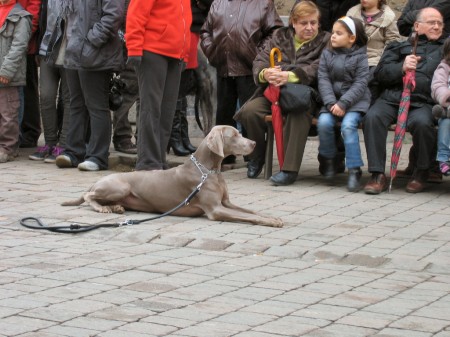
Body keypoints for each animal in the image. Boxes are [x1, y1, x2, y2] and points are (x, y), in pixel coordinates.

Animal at [61, 124, 284, 227]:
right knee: (88, 196)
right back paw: (102, 208)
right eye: (235, 135)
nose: (254, 142)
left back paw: (115, 207)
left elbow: (250, 211)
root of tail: (97, 181)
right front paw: (272, 222)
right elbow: (247, 216)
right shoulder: (215, 209)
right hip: (119, 186)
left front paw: (271, 217)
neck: (208, 170)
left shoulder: (226, 203)